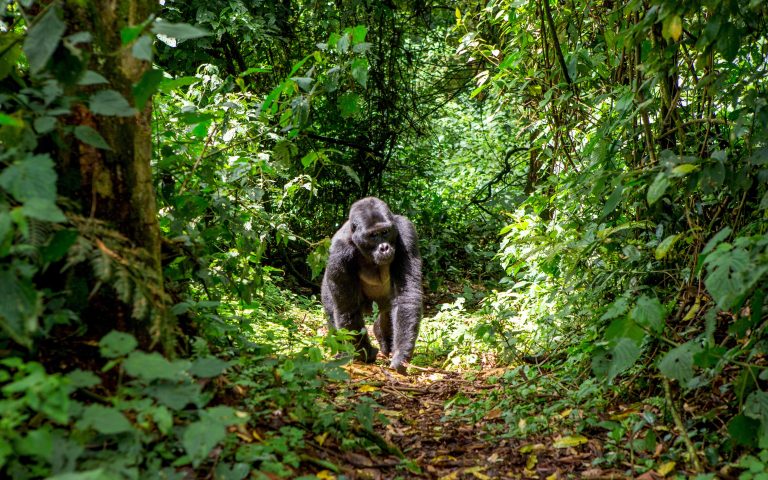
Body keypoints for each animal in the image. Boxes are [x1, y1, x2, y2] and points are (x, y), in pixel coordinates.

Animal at [321, 197, 423, 374]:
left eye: (385, 232)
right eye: (373, 235)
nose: (384, 248)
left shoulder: (406, 231)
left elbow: (407, 296)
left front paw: (401, 355)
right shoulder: (339, 252)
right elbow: (348, 309)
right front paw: (365, 354)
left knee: (387, 313)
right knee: (333, 311)